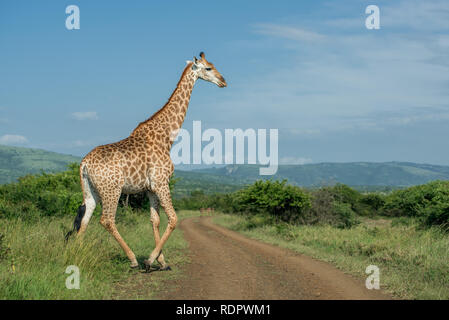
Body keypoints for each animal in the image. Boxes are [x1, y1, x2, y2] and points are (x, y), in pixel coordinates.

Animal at [65, 52, 226, 270]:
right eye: (208, 68)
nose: (223, 81)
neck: (166, 137)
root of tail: (84, 164)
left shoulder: (150, 188)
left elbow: (154, 220)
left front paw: (162, 261)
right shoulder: (161, 182)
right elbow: (173, 219)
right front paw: (151, 259)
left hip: (91, 191)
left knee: (84, 221)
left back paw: (78, 257)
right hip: (112, 190)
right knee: (106, 220)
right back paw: (132, 259)